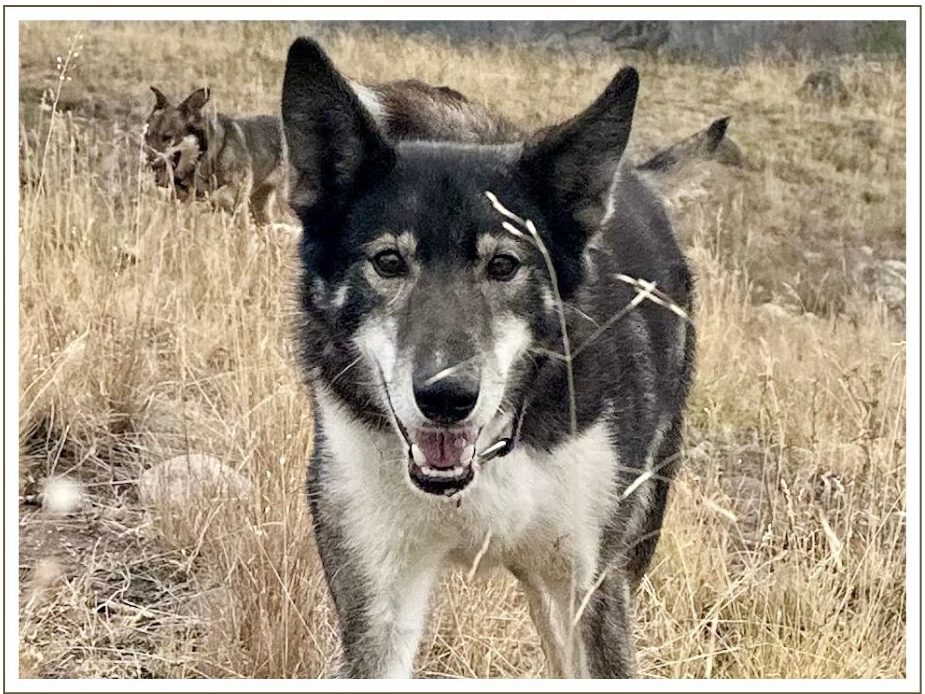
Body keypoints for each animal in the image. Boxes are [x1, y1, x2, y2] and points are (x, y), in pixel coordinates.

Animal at [282, 38, 692, 680]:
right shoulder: (375, 594)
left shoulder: (593, 589)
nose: (447, 398)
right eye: (389, 262)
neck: (491, 457)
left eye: (503, 265)